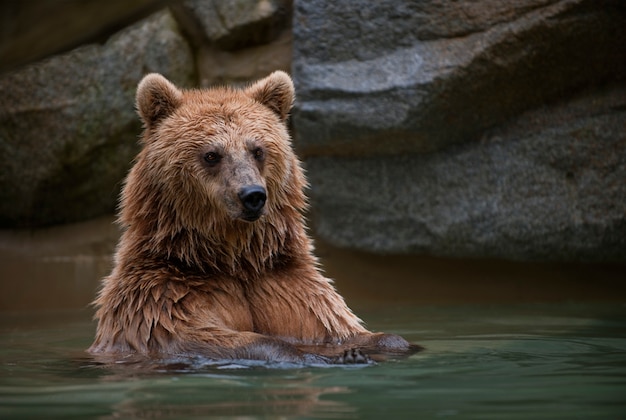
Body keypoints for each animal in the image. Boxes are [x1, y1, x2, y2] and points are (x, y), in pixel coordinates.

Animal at [89, 71, 414, 364]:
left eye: (258, 150)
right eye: (211, 155)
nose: (252, 195)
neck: (231, 259)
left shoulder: (283, 284)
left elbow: (331, 323)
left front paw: (385, 344)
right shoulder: (165, 296)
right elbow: (199, 334)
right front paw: (309, 355)